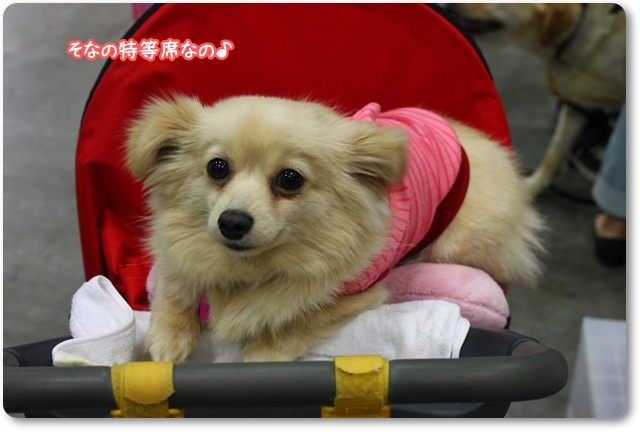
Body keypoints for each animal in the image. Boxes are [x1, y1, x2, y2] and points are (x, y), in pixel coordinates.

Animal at [125, 95, 544, 363]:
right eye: (217, 168)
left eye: (290, 179)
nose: (232, 221)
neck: (252, 269)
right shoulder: (176, 259)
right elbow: (174, 290)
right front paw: (168, 338)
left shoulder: (356, 294)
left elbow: (298, 320)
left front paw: (261, 352)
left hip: (456, 245)